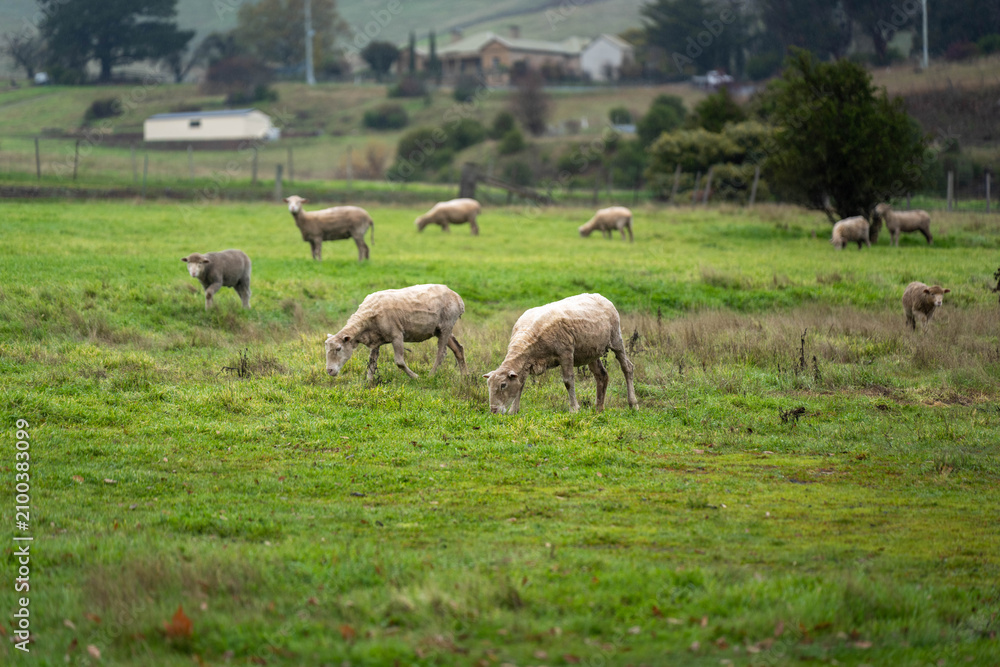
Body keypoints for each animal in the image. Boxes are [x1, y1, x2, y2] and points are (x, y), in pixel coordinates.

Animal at [325, 284, 468, 381]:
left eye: (339, 348)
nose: (329, 370)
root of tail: (458, 298)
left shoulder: (397, 335)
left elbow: (399, 361)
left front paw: (415, 377)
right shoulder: (376, 339)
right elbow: (372, 362)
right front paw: (369, 381)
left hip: (447, 325)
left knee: (441, 353)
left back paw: (430, 375)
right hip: (440, 329)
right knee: (458, 349)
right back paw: (465, 376)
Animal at [483, 293, 638, 415]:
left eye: (503, 385)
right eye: (488, 385)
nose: (494, 411)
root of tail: (601, 296)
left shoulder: (566, 352)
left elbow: (568, 381)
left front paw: (574, 409)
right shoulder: (527, 363)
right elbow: (520, 385)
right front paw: (513, 411)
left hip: (616, 338)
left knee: (627, 367)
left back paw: (633, 404)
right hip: (591, 351)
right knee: (601, 375)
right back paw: (599, 408)